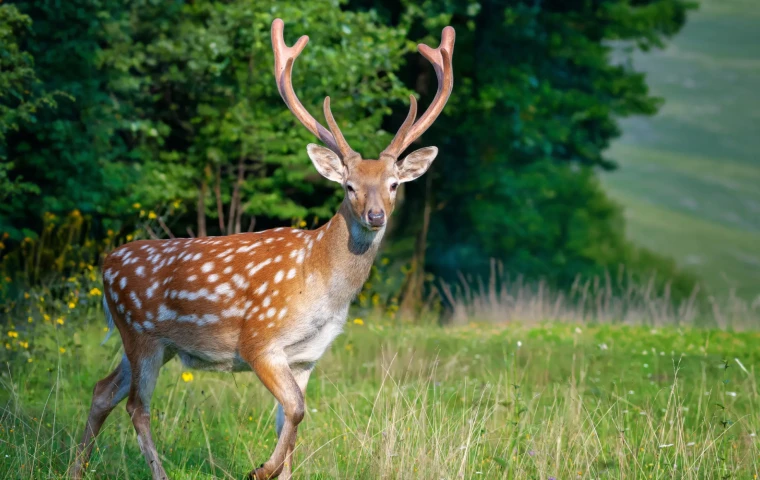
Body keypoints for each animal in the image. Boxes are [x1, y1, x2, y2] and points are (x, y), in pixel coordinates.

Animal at [70, 18, 454, 480]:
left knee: (101, 390)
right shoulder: (259, 340)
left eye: (394, 184)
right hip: (141, 332)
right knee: (137, 406)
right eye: (349, 186)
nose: (375, 215)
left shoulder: (306, 357)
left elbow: (290, 419)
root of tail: (106, 262)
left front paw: (275, 469)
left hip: (156, 344)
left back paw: (76, 469)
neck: (319, 282)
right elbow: (296, 410)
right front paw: (260, 469)